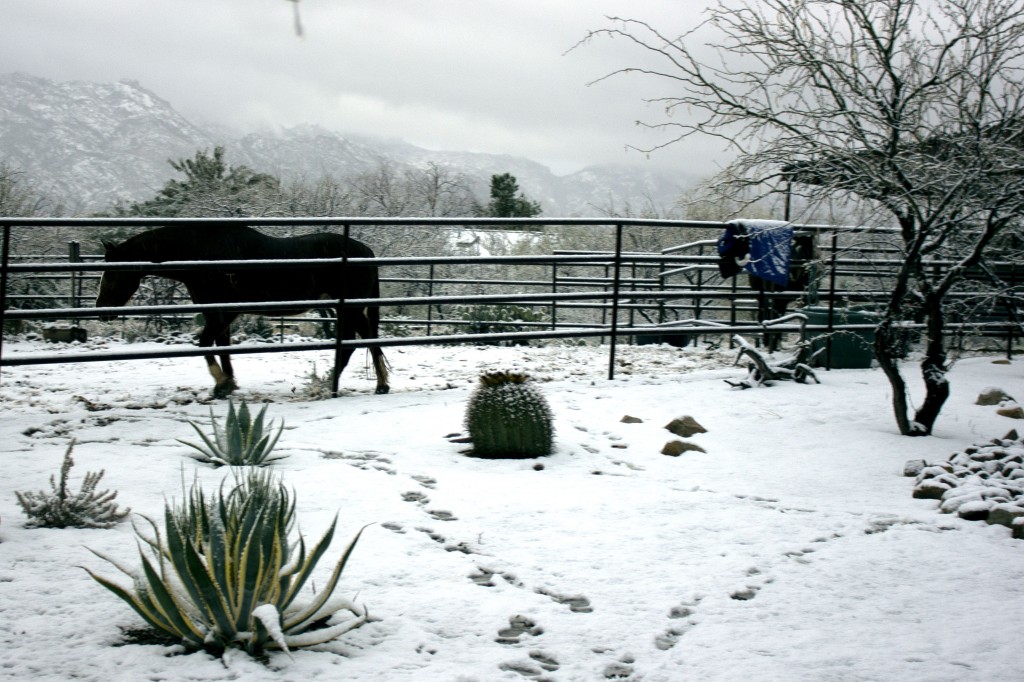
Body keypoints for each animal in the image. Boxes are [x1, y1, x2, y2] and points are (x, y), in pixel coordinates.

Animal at [94, 223, 389, 395]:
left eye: (113, 273)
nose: (101, 311)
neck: (205, 255)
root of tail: (366, 251)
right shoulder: (218, 312)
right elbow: (221, 346)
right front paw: (228, 383)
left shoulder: (226, 312)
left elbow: (205, 343)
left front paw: (221, 384)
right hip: (348, 308)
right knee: (360, 340)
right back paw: (361, 383)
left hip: (350, 308)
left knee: (357, 341)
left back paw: (349, 384)